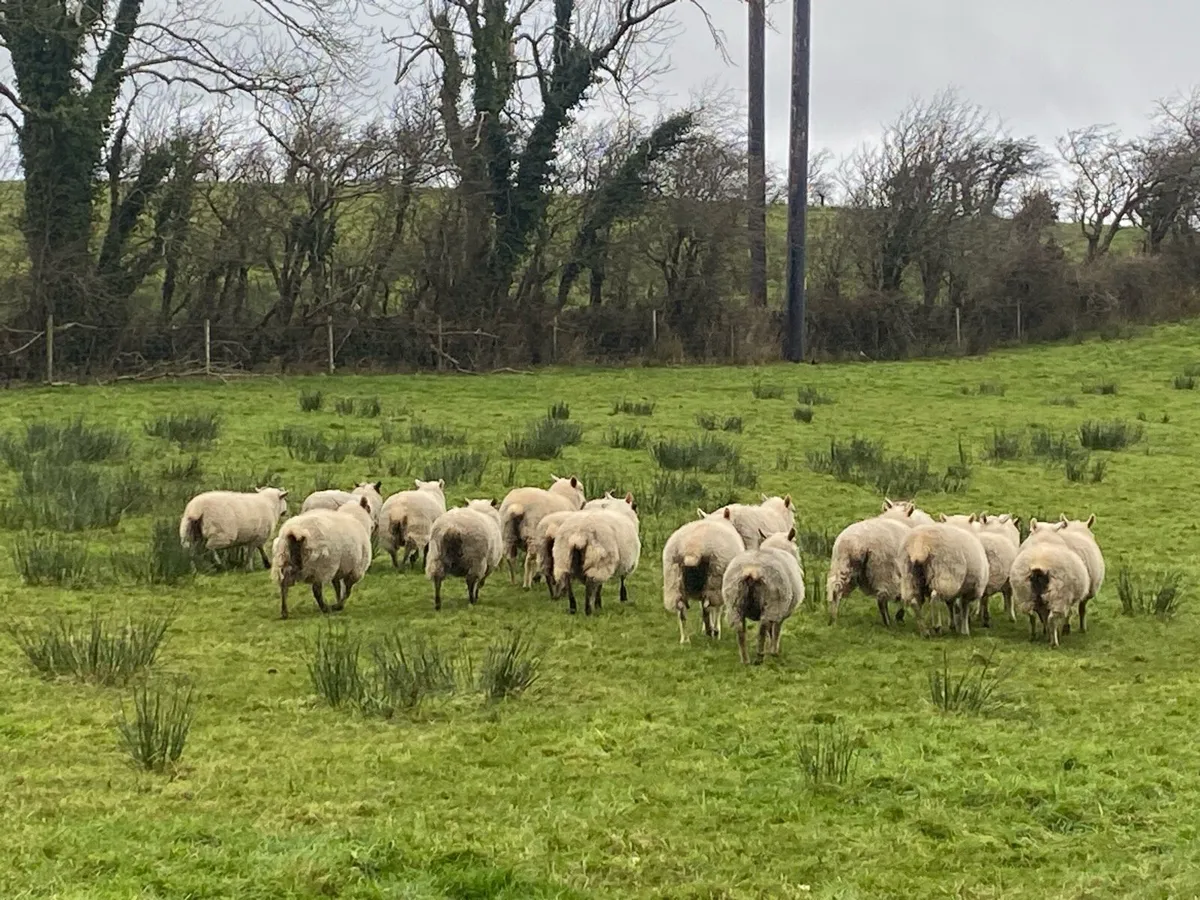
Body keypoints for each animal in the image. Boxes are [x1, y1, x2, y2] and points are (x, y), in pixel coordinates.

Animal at [662, 507, 746, 643]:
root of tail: (693, 549)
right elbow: (716, 608)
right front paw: (716, 629)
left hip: (674, 580)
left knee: (682, 610)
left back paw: (685, 640)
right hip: (715, 578)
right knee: (708, 606)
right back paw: (712, 631)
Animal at [722, 528, 805, 664]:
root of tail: (752, 570)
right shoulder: (781, 611)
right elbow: (775, 630)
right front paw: (774, 651)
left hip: (735, 602)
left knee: (740, 630)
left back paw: (745, 660)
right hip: (772, 602)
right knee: (763, 628)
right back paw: (759, 657)